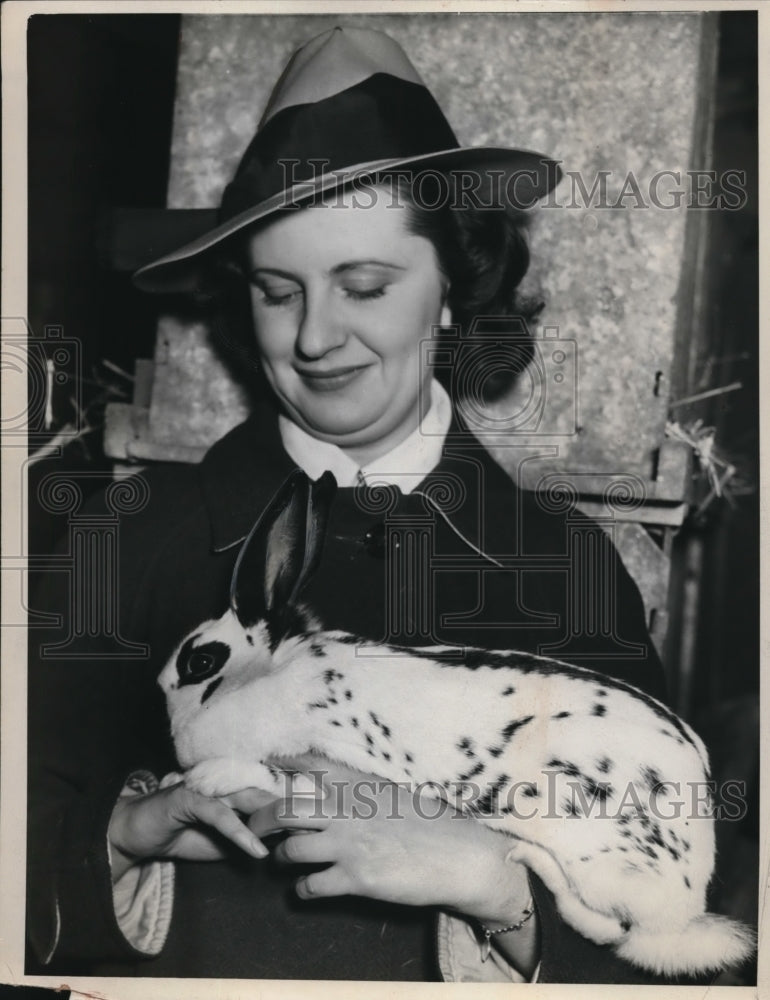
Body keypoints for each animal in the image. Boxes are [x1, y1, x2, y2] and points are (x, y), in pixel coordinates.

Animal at [159, 468, 752, 976]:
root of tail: (691, 893)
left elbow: (264, 774)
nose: (163, 695)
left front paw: (202, 778)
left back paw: (528, 856)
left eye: (200, 662)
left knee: (610, 929)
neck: (269, 674)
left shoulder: (315, 767)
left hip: (601, 863)